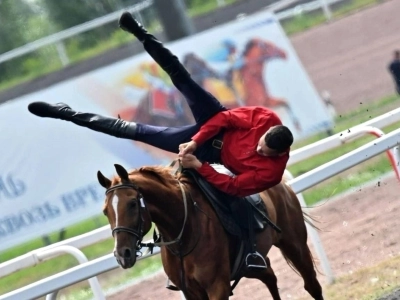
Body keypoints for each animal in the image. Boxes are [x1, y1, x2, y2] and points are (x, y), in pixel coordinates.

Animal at [98, 164, 324, 300]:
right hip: (250, 265)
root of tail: (281, 185)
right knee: (269, 276)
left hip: (295, 246)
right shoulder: (191, 292)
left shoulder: (217, 287)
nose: (122, 254)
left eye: (132, 204)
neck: (185, 232)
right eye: (105, 211)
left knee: (312, 284)